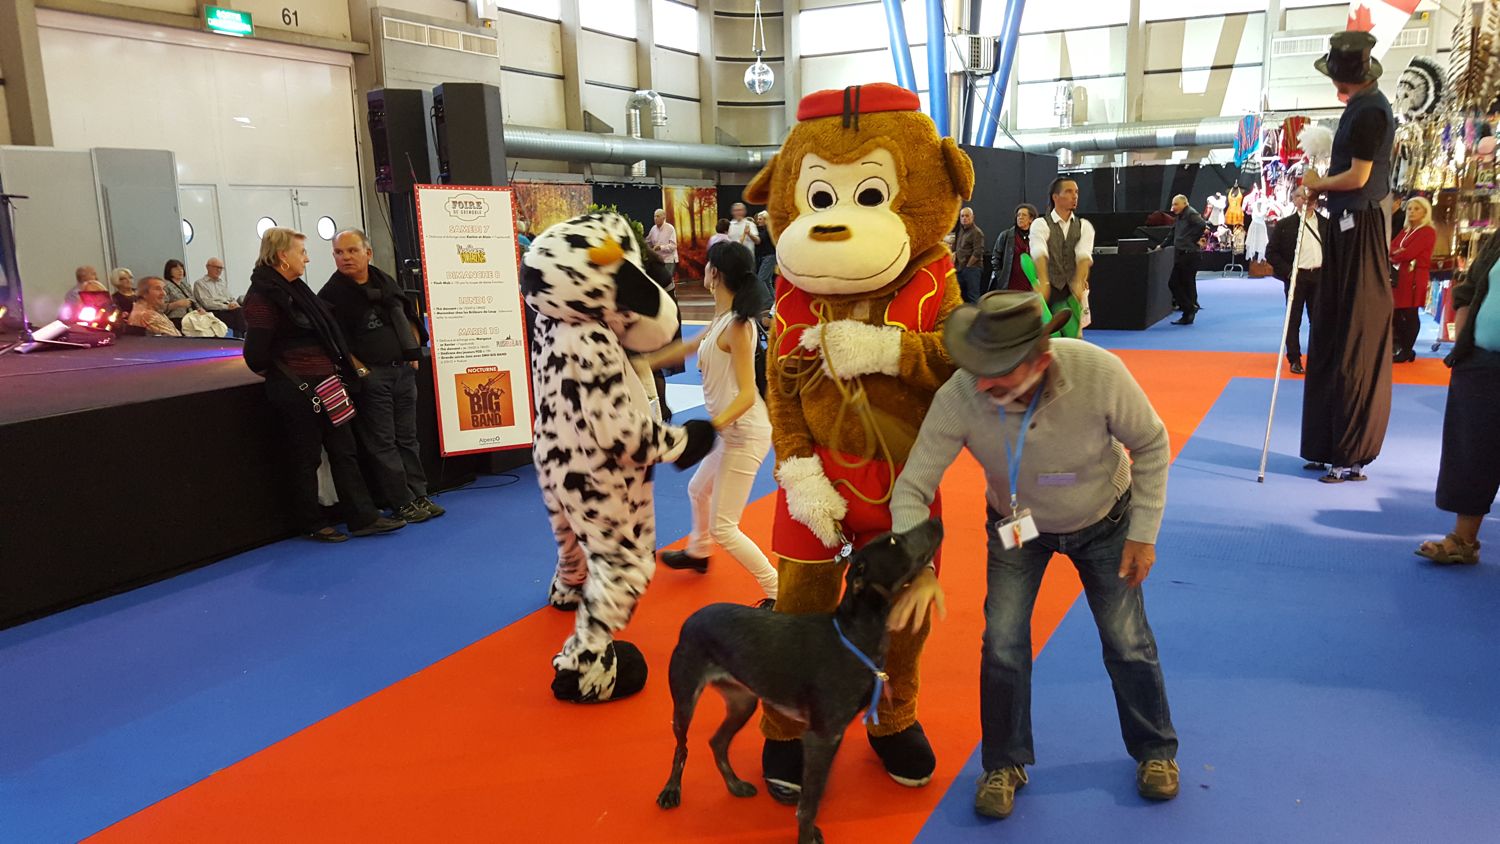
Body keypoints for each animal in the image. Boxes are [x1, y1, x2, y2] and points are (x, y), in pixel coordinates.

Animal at [655, 519, 943, 844]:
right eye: (894, 541)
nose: (936, 521)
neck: (853, 636)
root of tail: (691, 618)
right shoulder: (821, 736)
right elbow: (808, 804)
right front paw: (806, 835)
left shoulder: (832, 736)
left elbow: (813, 794)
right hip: (684, 698)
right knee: (682, 748)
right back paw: (671, 790)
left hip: (743, 701)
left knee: (717, 742)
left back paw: (735, 785)